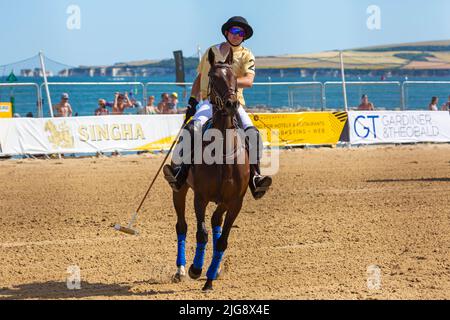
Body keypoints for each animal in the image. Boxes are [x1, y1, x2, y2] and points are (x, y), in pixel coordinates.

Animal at [171, 47, 250, 290]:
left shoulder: (235, 201)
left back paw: (214, 269)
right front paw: (196, 269)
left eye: (234, 77)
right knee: (182, 226)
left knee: (216, 224)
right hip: (179, 190)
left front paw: (210, 278)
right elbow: (201, 233)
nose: (232, 104)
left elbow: (222, 239)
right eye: (213, 78)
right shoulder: (201, 197)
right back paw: (181, 269)